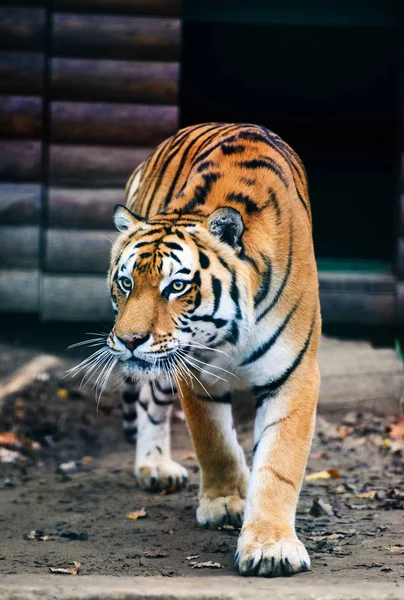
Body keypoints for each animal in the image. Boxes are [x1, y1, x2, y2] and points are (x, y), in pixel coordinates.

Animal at [105, 122, 320, 576]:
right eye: (126, 282)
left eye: (176, 286)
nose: (129, 341)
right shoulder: (193, 370)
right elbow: (214, 441)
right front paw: (224, 501)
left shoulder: (294, 374)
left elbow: (278, 464)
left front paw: (271, 546)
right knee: (150, 402)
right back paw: (154, 466)